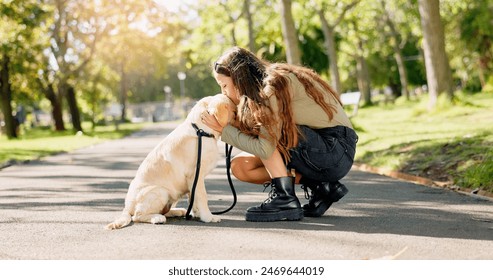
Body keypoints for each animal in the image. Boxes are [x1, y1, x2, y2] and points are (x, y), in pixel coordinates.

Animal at [106, 94, 234, 230]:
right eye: (234, 110)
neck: (201, 130)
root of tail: (126, 207)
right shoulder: (196, 174)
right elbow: (202, 196)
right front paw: (208, 217)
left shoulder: (193, 181)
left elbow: (193, 198)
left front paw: (198, 214)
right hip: (160, 191)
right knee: (137, 216)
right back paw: (157, 218)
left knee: (165, 211)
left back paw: (178, 211)